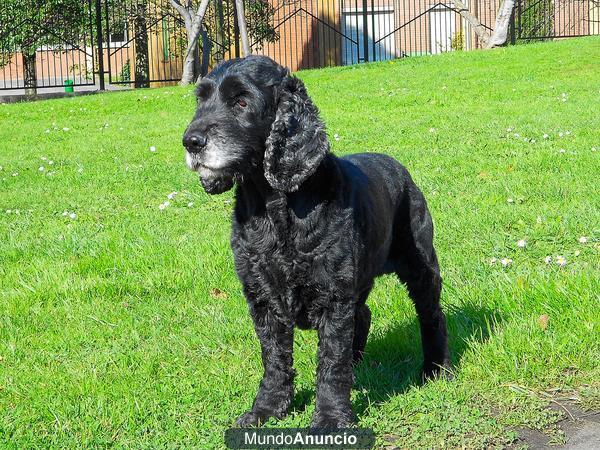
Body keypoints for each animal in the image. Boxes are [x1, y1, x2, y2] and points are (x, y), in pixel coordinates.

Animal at [183, 55, 450, 426]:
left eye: (241, 102)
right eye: (201, 100)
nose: (191, 141)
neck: (275, 207)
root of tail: (402, 170)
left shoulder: (333, 296)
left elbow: (331, 362)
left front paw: (331, 418)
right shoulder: (263, 298)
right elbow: (274, 359)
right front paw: (267, 409)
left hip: (419, 263)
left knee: (431, 313)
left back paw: (436, 369)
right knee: (364, 314)